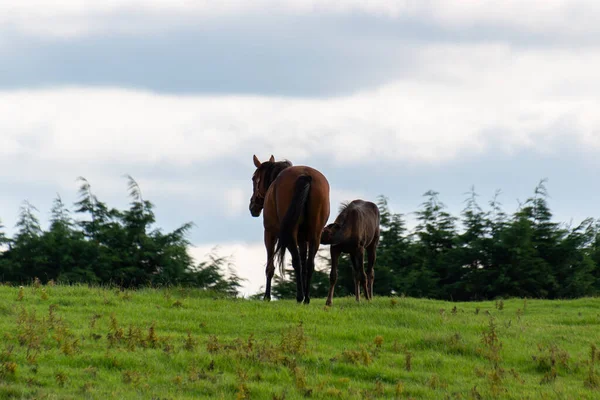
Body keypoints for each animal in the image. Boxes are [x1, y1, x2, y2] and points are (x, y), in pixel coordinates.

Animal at [250, 154, 332, 304]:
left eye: (254, 178)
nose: (253, 206)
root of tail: (306, 175)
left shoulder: (269, 234)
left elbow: (270, 267)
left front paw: (266, 296)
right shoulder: (303, 239)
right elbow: (305, 264)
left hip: (289, 234)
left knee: (296, 262)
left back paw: (299, 297)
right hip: (315, 234)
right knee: (309, 265)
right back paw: (306, 298)